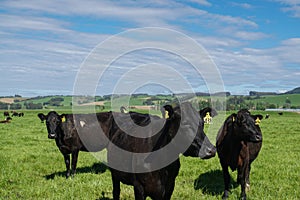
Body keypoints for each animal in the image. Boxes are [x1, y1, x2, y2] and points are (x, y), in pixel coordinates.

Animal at [38, 102, 216, 199]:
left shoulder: (169, 189)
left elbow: (71, 162)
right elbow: (69, 162)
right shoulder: (139, 188)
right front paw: (69, 176)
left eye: (202, 123)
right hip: (115, 174)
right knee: (116, 191)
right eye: (184, 124)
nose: (211, 150)